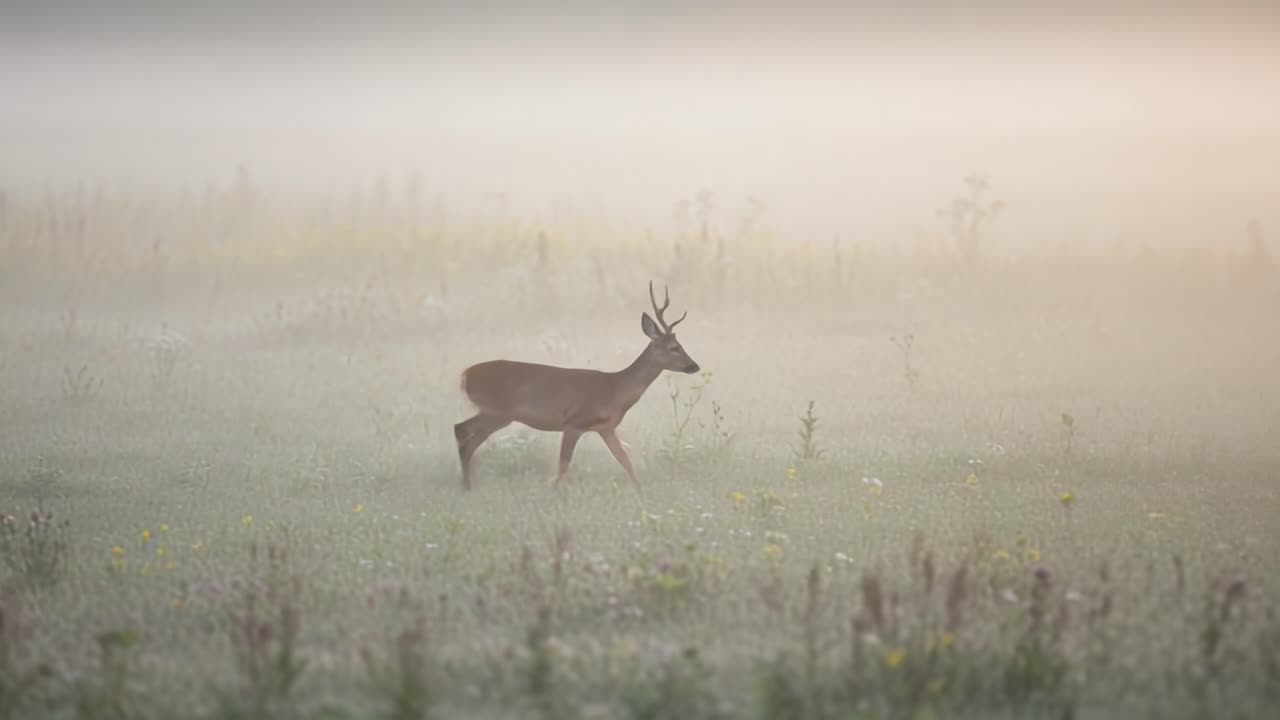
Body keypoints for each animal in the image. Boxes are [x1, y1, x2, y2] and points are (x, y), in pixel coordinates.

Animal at [453, 282, 701, 491]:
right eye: (674, 347)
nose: (694, 366)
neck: (614, 389)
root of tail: (465, 374)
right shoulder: (574, 422)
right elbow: (563, 466)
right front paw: (553, 494)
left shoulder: (606, 428)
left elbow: (626, 461)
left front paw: (642, 493)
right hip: (497, 412)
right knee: (464, 436)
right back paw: (467, 488)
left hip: (496, 414)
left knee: (462, 432)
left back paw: (468, 487)